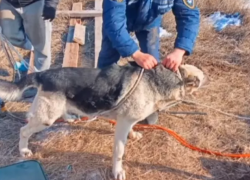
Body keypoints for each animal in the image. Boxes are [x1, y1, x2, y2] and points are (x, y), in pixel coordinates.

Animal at [0, 62, 206, 179]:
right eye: (201, 79)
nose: (207, 79)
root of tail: (43, 73)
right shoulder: (122, 124)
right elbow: (119, 152)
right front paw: (117, 172)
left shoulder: (126, 121)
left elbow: (131, 130)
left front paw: (133, 134)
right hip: (46, 118)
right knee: (23, 131)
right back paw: (24, 150)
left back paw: (69, 117)